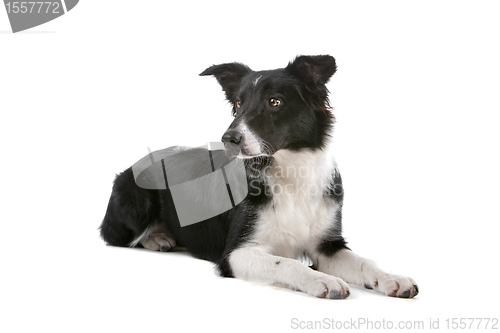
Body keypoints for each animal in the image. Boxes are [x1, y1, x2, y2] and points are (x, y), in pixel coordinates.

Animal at [100, 54, 418, 298]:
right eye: (239, 104)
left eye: (274, 102)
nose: (228, 139)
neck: (290, 172)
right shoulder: (235, 253)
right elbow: (287, 263)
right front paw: (321, 280)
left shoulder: (327, 245)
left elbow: (365, 263)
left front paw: (392, 278)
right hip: (135, 199)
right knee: (117, 235)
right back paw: (158, 237)